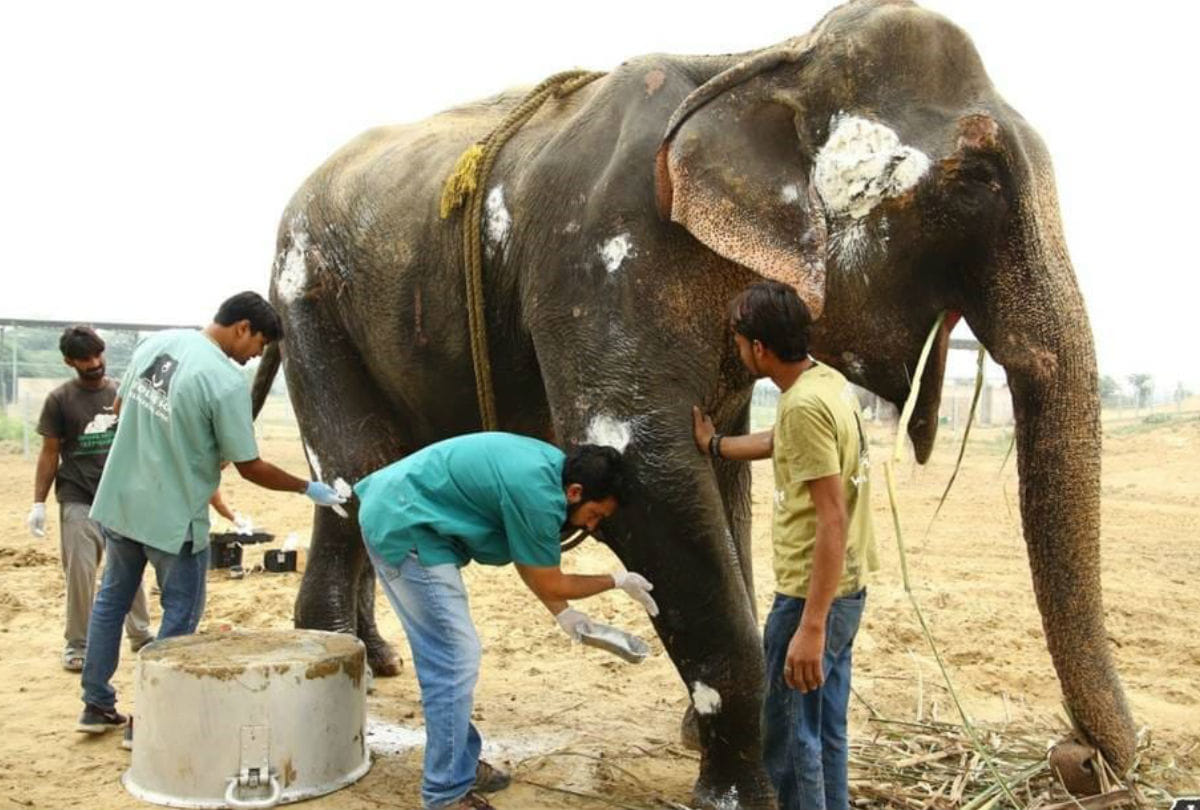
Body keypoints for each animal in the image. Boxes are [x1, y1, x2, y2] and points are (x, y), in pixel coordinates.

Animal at [251, 0, 1136, 805]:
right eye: (975, 178)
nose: (1078, 761)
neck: (762, 57)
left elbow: (725, 473)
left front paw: (699, 737)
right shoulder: (599, 256)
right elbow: (642, 468)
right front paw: (740, 792)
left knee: (382, 476)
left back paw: (375, 660)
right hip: (309, 296)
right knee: (360, 467)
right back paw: (344, 673)